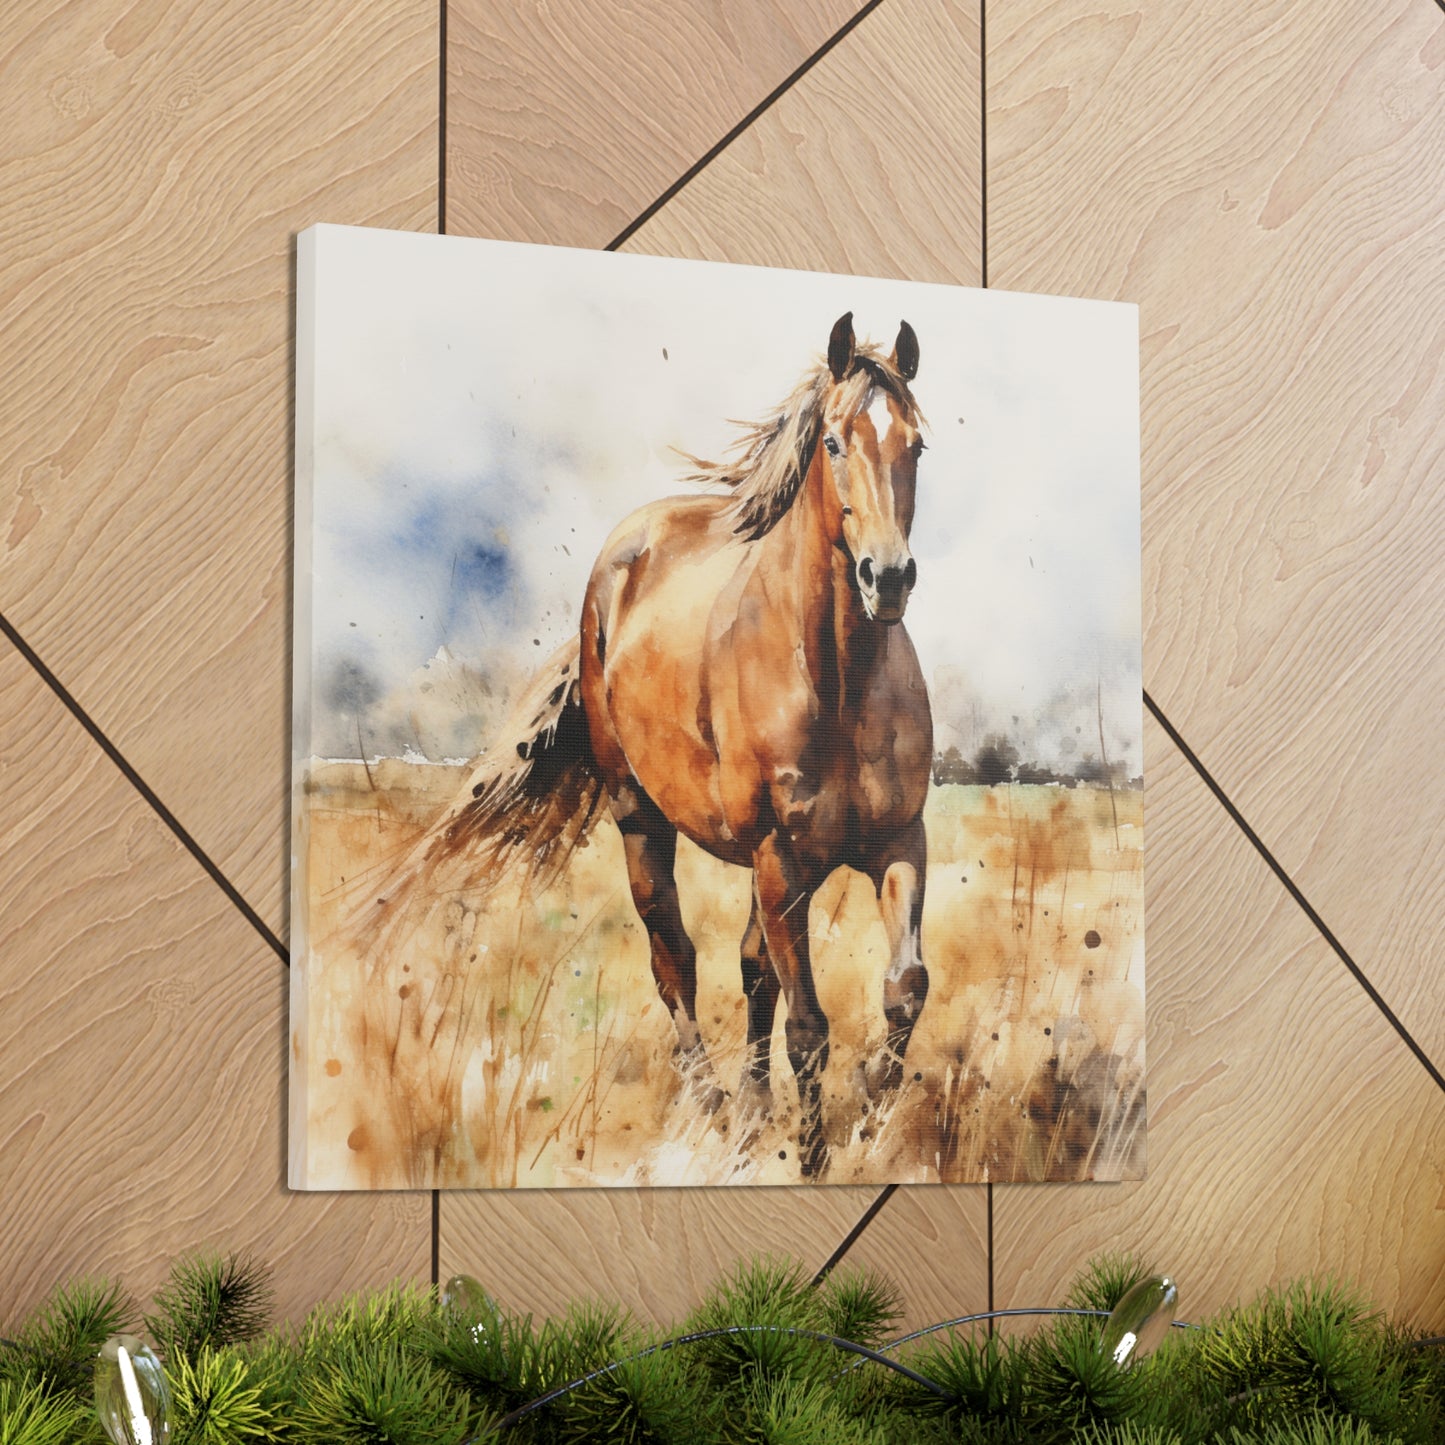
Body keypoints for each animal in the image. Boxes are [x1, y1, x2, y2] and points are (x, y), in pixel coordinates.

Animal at [433, 312, 933, 1177]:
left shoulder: (899, 841)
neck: (839, 679)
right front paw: (811, 1158)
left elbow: (903, 986)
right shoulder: (780, 859)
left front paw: (871, 1111)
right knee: (676, 960)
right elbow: (808, 1026)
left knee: (750, 968)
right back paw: (710, 1106)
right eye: (834, 441)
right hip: (643, 818)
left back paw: (750, 1112)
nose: (888, 579)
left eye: (918, 444)